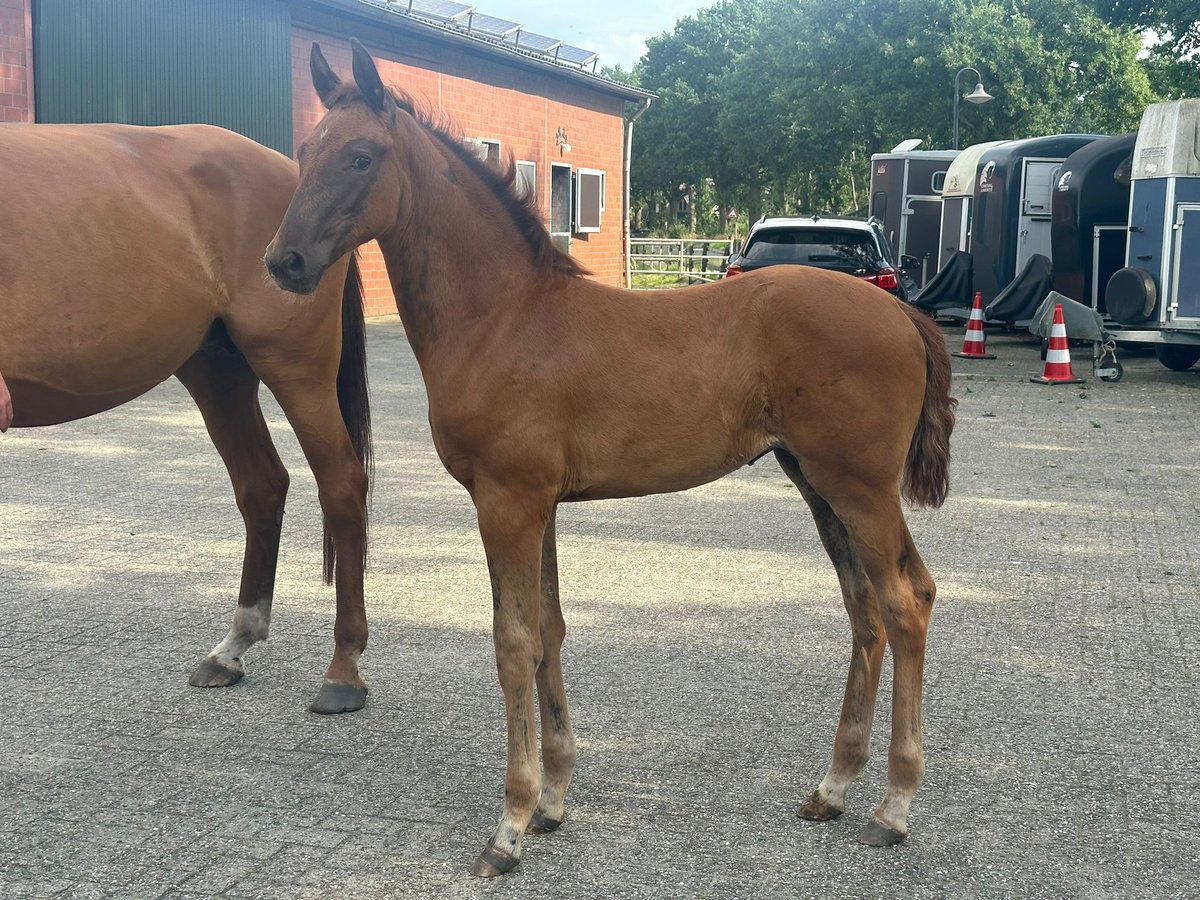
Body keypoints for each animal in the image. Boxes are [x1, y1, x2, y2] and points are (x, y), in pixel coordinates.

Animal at [0, 121, 372, 720]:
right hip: (216, 369)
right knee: (263, 486)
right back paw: (232, 649)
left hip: (296, 367)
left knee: (341, 485)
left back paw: (343, 671)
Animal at [270, 40, 955, 873]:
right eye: (305, 152)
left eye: (361, 156)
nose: (284, 261)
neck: (502, 317)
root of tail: (901, 312)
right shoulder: (540, 505)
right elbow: (551, 632)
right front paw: (554, 802)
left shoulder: (506, 502)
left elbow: (513, 642)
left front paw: (510, 824)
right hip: (820, 486)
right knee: (868, 611)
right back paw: (832, 787)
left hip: (858, 488)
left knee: (904, 603)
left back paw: (893, 807)